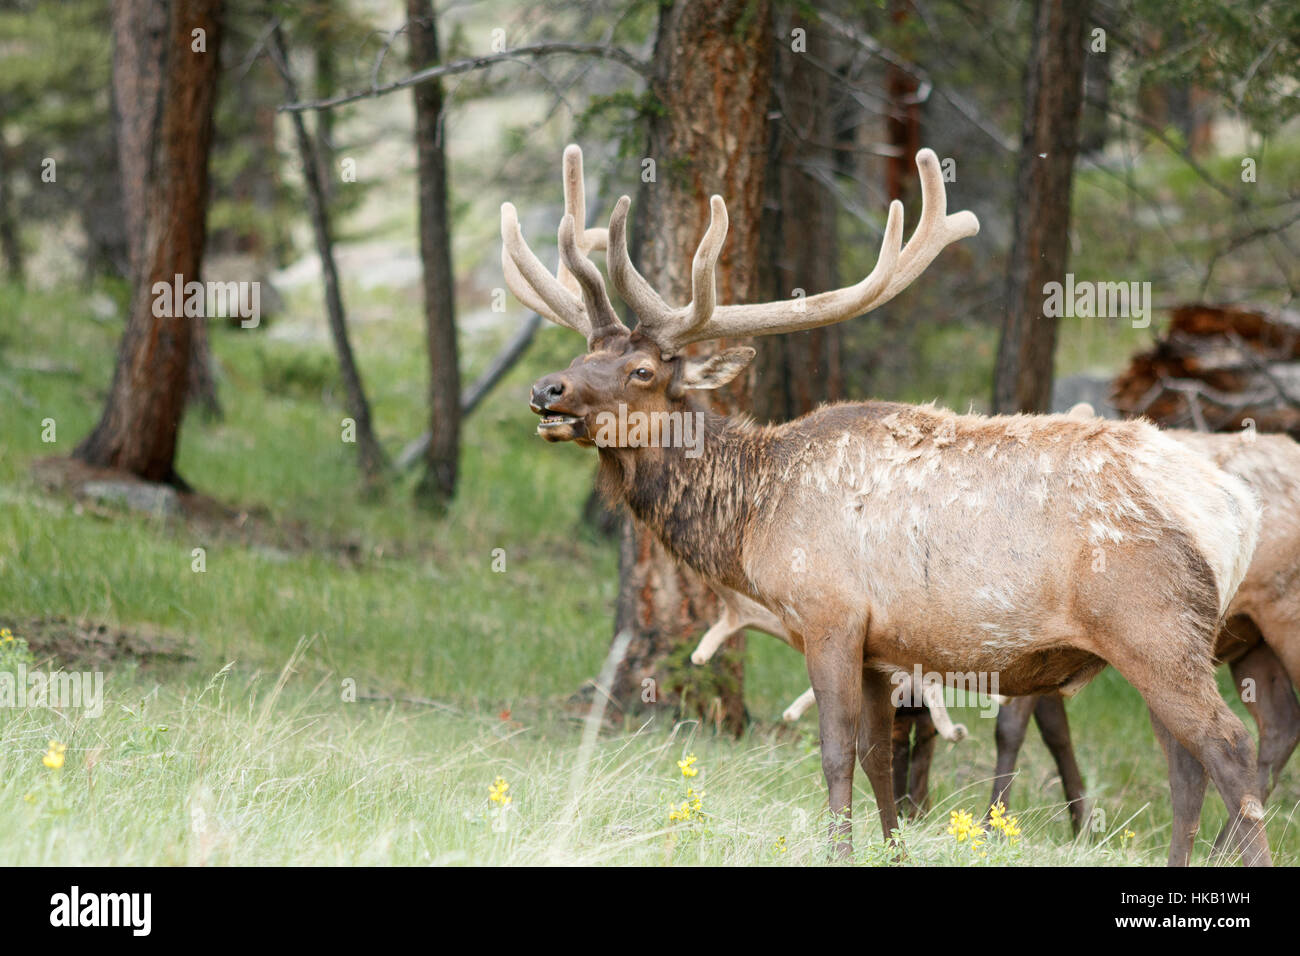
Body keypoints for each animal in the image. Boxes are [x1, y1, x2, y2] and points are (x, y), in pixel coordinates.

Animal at [987, 403, 1300, 858]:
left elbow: (1011, 727)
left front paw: (995, 824)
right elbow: (1053, 727)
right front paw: (1080, 823)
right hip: (1250, 642)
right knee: (1280, 723)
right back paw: (1220, 850)